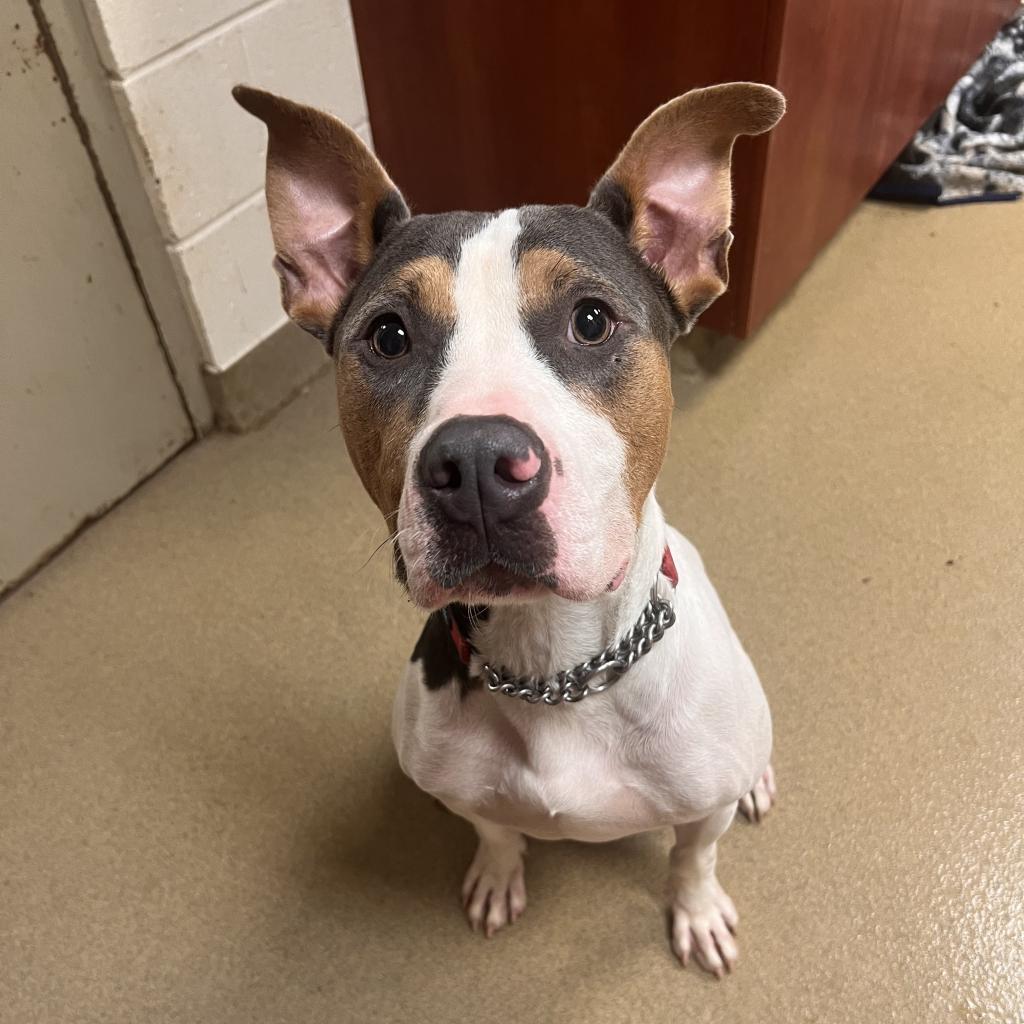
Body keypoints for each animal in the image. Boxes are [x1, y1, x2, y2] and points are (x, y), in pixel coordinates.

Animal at [235, 79, 786, 974]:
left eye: (591, 320)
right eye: (388, 335)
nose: (478, 463)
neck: (554, 666)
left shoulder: (701, 807)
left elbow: (694, 853)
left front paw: (697, 910)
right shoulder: (454, 781)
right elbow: (493, 827)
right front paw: (498, 874)